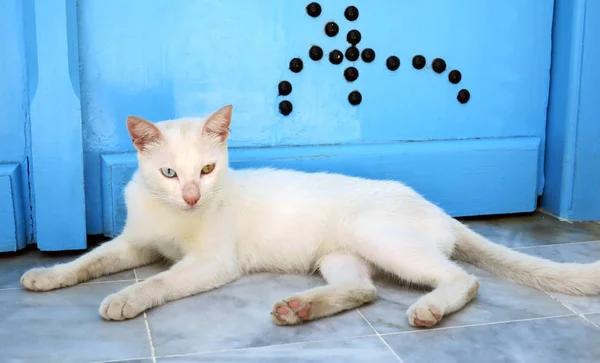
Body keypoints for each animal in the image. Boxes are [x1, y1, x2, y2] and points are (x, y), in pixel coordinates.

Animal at [21, 105, 600, 328]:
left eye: (207, 169)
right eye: (168, 173)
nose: (190, 196)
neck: (174, 218)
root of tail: (438, 208)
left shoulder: (211, 263)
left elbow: (158, 281)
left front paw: (124, 300)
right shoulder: (133, 243)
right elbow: (88, 262)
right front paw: (47, 275)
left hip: (378, 235)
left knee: (463, 278)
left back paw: (429, 309)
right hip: (340, 255)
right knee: (364, 289)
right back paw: (300, 308)